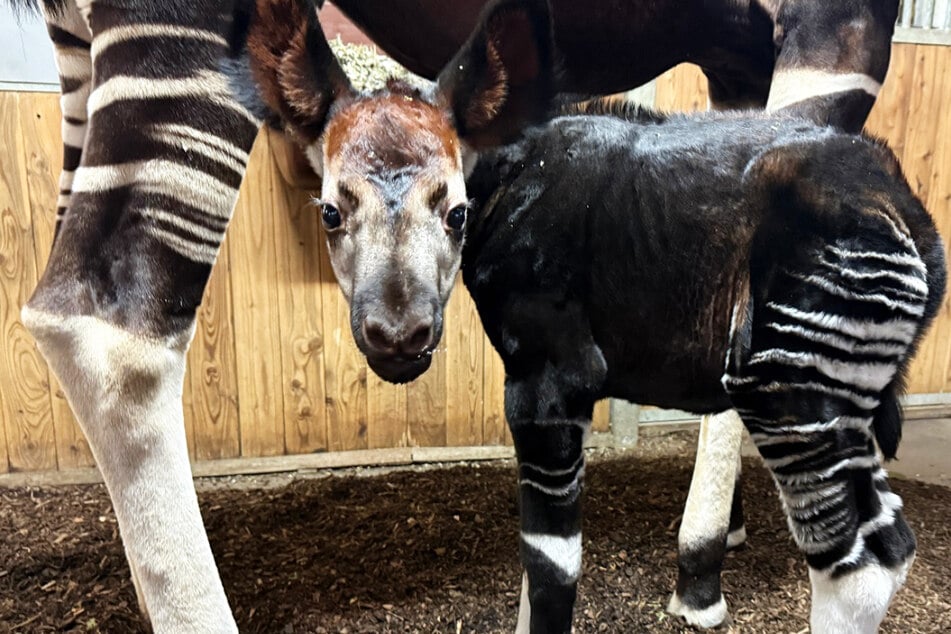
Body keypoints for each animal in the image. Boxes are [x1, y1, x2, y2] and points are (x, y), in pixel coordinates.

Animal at [251, 1, 944, 632]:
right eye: (331, 211)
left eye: (454, 211)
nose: (397, 336)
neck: (510, 173)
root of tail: (907, 206)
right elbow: (536, 562)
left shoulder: (552, 379)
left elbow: (551, 564)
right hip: (844, 396)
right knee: (889, 541)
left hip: (790, 385)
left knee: (860, 562)